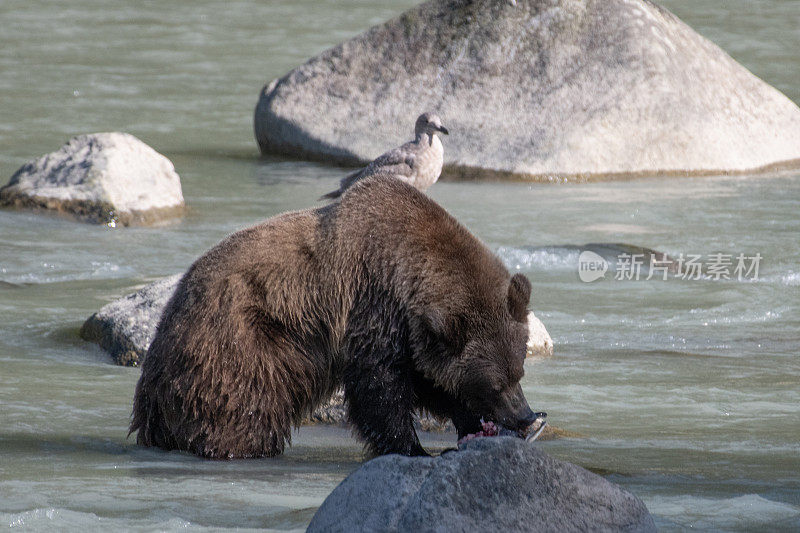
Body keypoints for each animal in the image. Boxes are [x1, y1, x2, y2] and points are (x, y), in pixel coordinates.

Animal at [131, 175, 540, 458]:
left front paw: (473, 423)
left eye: (518, 371)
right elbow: (378, 388)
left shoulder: (411, 333)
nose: (525, 414)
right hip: (241, 344)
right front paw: (414, 448)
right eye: (496, 383)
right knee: (243, 406)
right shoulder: (373, 303)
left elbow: (427, 379)